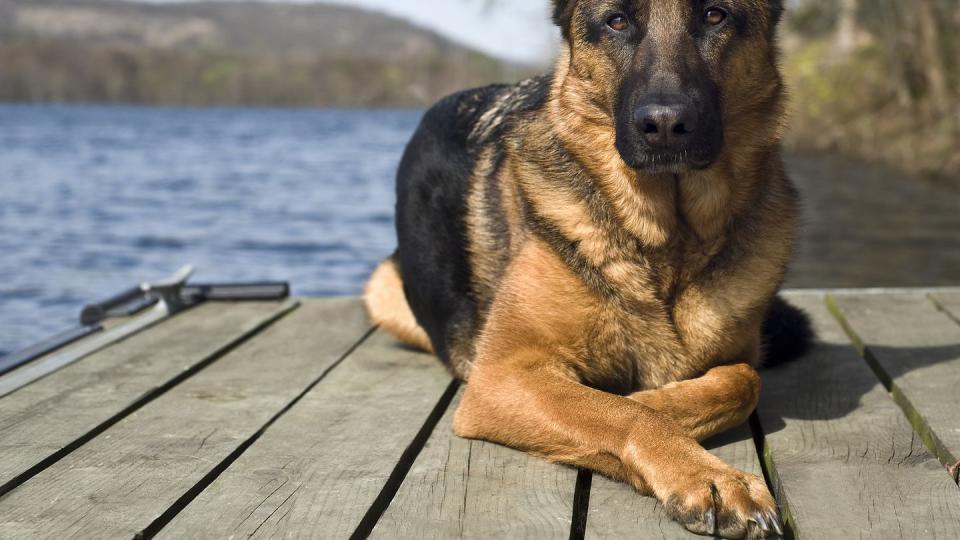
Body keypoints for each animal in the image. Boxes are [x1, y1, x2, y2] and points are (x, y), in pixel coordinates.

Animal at [368, 2, 808, 536]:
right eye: (617, 21)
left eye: (715, 15)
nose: (665, 124)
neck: (668, 240)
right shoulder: (503, 376)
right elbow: (623, 414)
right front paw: (699, 466)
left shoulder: (738, 356)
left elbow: (743, 380)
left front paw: (656, 401)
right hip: (385, 292)